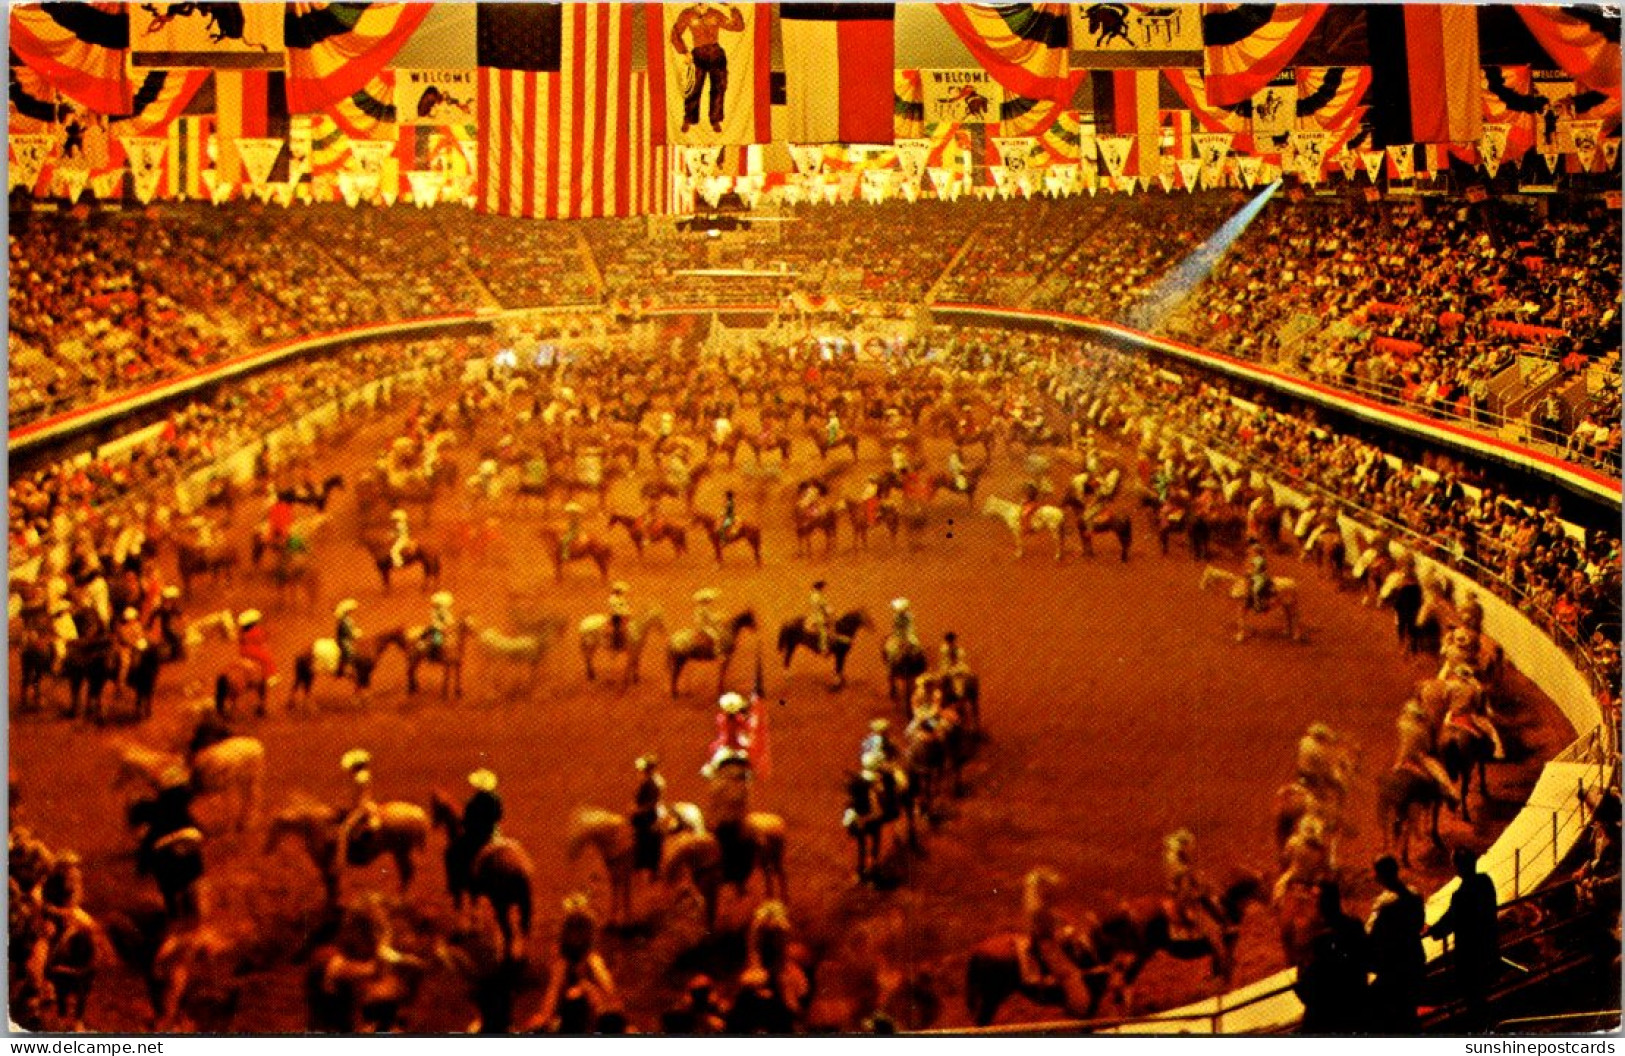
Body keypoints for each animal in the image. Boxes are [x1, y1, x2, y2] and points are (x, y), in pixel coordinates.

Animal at [261, 799, 425, 903]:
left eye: (274, 826)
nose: (265, 849)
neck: (313, 825)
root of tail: (418, 814)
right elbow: (330, 882)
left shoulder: (326, 861)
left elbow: (330, 881)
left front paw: (333, 901)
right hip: (401, 851)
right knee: (407, 871)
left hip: (401, 851)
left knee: (407, 871)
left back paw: (401, 897)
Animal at [429, 786, 536, 955]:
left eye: (435, 807)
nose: (433, 824)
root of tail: (518, 869)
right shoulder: (474, 889)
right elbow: (475, 906)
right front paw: (475, 927)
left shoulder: (458, 886)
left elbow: (460, 907)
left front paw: (461, 930)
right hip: (523, 904)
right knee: (522, 931)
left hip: (501, 906)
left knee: (509, 933)